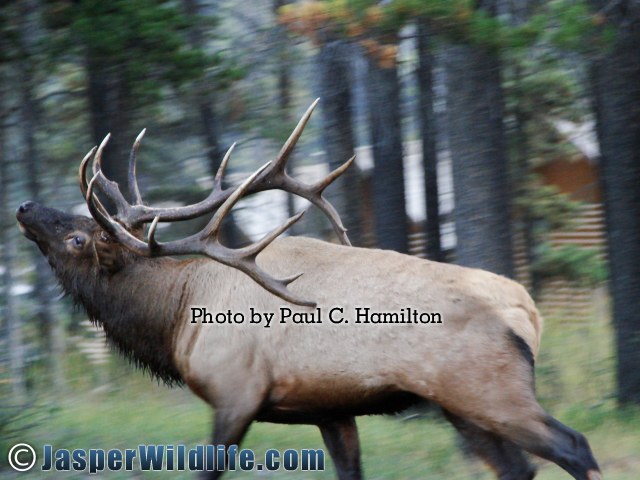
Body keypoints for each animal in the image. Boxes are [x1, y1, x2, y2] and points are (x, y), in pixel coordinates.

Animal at [17, 99, 604, 478]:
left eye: (77, 237)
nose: (23, 206)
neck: (175, 318)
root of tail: (527, 310)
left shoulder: (236, 393)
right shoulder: (330, 410)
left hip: (491, 390)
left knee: (575, 446)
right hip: (463, 405)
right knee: (519, 469)